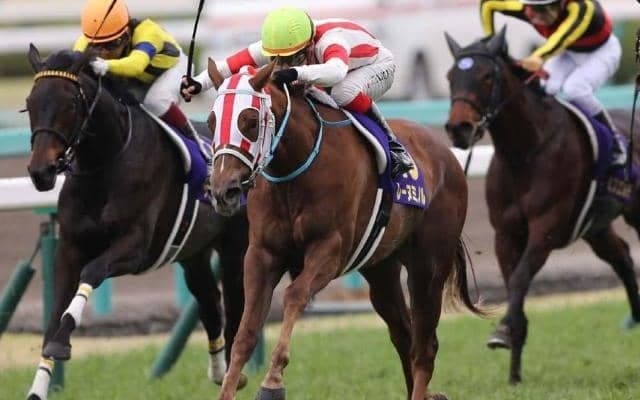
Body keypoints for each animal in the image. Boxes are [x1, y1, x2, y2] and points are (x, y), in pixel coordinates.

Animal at [24, 46, 248, 399]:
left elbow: (91, 273)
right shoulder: (69, 249)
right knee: (210, 303)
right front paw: (40, 385)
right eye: (31, 102)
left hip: (235, 247)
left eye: (70, 103)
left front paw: (63, 341)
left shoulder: (134, 249)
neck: (104, 165)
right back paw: (218, 371)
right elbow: (54, 314)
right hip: (192, 253)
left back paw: (234, 375)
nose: (40, 172)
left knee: (236, 304)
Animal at [203, 58, 482, 400]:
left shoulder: (330, 248)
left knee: (424, 345)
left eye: (250, 121)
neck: (294, 169)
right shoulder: (262, 254)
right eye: (211, 121)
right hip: (381, 269)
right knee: (404, 336)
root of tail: (447, 155)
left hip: (428, 266)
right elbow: (246, 330)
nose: (223, 191)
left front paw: (273, 382)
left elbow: (295, 295)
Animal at [444, 29, 640, 385]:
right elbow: (512, 284)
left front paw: (504, 333)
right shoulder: (505, 234)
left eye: (486, 76)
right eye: (451, 76)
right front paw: (514, 370)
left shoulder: (545, 230)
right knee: (621, 256)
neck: (525, 152)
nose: (459, 129)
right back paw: (635, 314)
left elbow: (520, 278)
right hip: (595, 227)